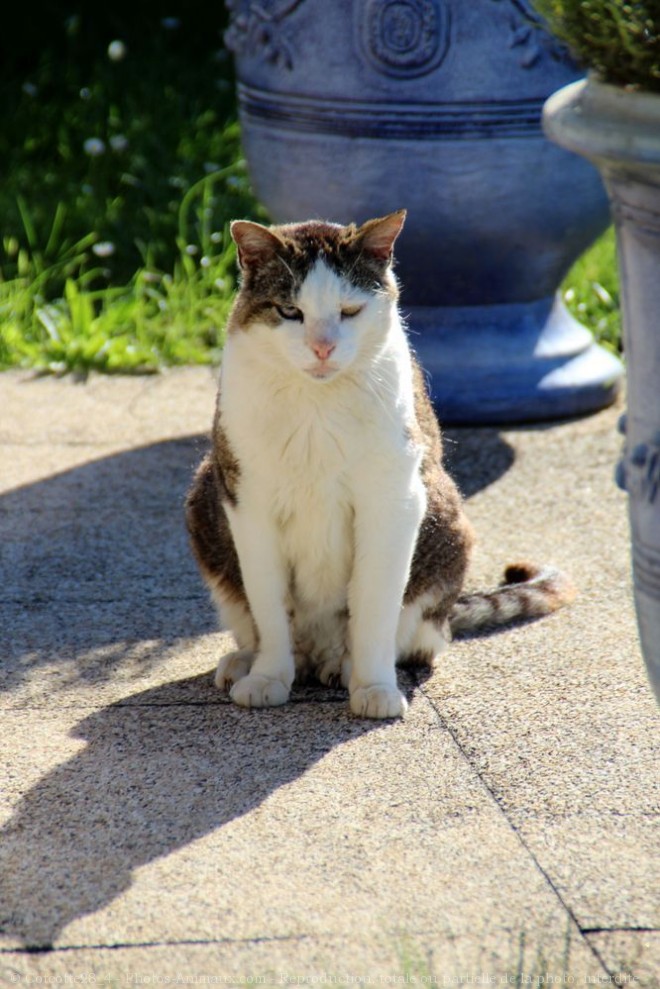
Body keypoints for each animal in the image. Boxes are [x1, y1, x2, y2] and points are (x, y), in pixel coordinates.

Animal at [184, 210, 572, 716]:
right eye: (290, 312)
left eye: (349, 311)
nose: (323, 347)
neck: (317, 407)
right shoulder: (248, 503)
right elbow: (268, 605)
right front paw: (268, 674)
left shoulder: (392, 502)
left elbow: (373, 605)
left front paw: (373, 687)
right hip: (203, 492)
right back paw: (249, 662)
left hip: (446, 515)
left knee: (416, 636)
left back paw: (344, 665)